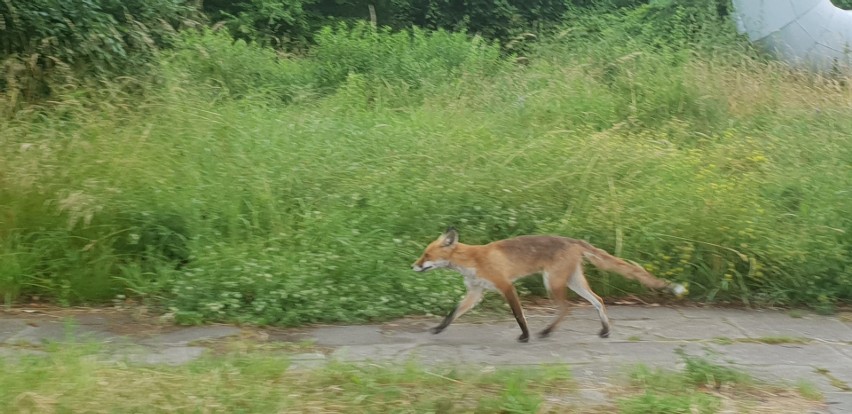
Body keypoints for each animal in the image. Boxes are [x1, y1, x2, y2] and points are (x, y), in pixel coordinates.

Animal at [412, 228, 684, 342]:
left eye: (426, 255)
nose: (413, 266)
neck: (472, 260)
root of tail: (573, 240)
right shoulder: (476, 292)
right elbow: (452, 313)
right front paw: (438, 329)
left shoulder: (506, 286)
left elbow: (519, 315)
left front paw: (525, 336)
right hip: (573, 282)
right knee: (598, 300)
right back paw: (605, 331)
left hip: (552, 283)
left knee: (567, 308)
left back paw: (546, 332)